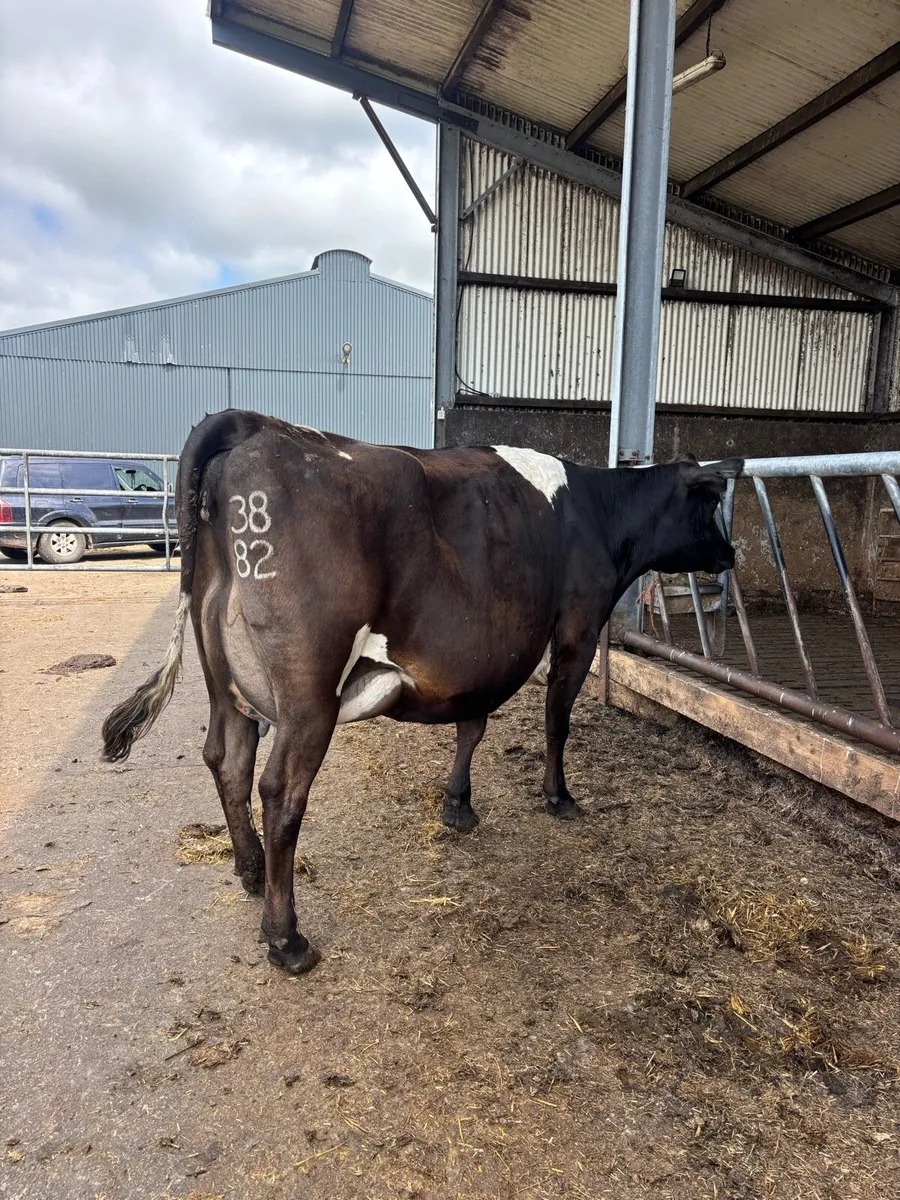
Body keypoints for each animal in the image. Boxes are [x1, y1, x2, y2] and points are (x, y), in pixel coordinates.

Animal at [102, 409, 741, 975]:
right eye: (711, 504)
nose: (732, 555)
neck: (596, 511)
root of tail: (255, 425)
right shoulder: (578, 628)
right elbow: (557, 720)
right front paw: (559, 798)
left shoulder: (483, 657)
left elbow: (472, 725)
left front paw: (458, 805)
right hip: (308, 695)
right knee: (280, 791)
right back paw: (286, 938)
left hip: (222, 683)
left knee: (226, 761)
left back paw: (251, 870)